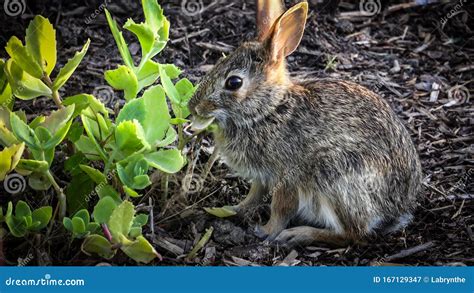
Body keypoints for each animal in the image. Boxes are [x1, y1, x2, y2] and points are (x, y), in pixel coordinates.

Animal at [187, 0, 420, 246]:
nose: (193, 107)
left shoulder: (288, 177)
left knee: (353, 234)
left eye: (234, 82)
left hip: (334, 175)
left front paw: (267, 231)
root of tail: (397, 209)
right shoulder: (261, 177)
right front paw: (234, 208)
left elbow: (280, 208)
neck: (268, 110)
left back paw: (298, 234)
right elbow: (254, 196)